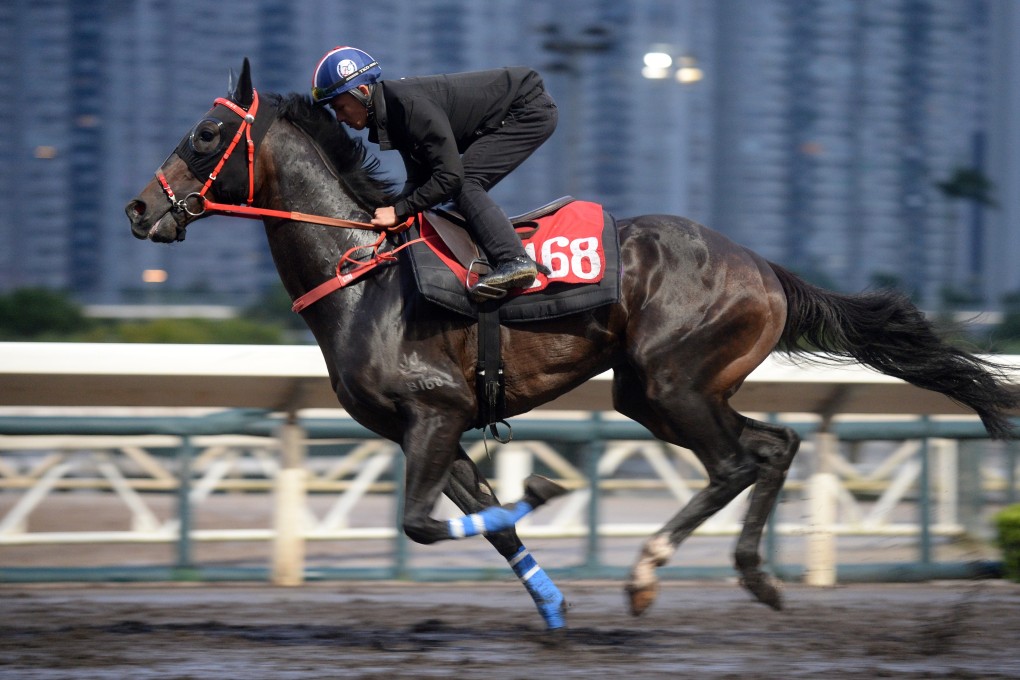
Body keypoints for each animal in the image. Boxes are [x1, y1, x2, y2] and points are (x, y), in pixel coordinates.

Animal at [126, 59, 1017, 630]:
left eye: (206, 132)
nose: (140, 210)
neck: (361, 271)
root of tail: (762, 265)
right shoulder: (432, 430)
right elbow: (487, 524)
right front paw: (551, 601)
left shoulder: (435, 409)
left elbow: (423, 525)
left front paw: (548, 491)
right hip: (663, 388)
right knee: (774, 445)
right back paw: (756, 578)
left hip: (670, 380)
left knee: (737, 461)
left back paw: (648, 573)